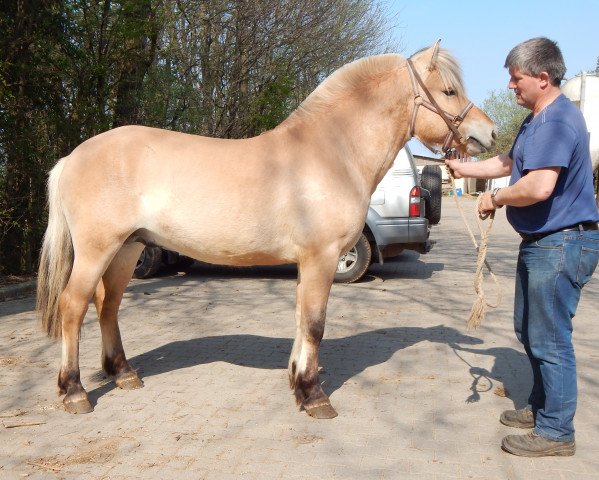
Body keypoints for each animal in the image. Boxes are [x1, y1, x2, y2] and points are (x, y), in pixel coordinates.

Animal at [38, 41, 496, 418]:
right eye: (449, 91)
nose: (488, 133)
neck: (332, 153)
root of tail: (71, 158)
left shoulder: (309, 263)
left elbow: (301, 320)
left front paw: (297, 383)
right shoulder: (321, 258)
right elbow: (314, 323)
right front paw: (314, 396)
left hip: (127, 249)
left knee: (108, 305)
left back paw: (123, 374)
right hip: (97, 249)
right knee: (73, 305)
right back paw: (74, 392)